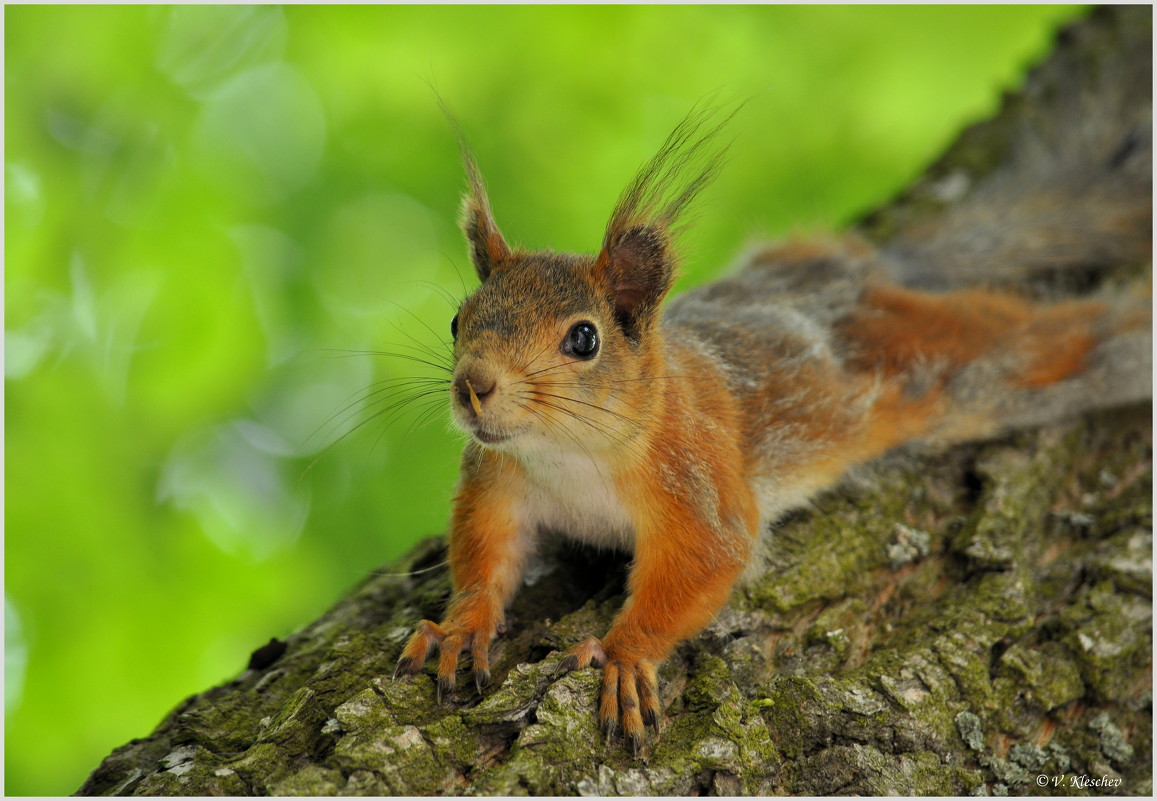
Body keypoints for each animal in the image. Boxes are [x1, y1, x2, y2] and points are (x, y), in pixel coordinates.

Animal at [393, 59, 1152, 754]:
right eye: (459, 320)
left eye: (584, 338)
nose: (474, 384)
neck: (569, 452)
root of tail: (865, 278)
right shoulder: (497, 483)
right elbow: (484, 554)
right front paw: (460, 626)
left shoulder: (696, 480)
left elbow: (704, 563)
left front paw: (623, 655)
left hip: (974, 366)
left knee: (1070, 340)